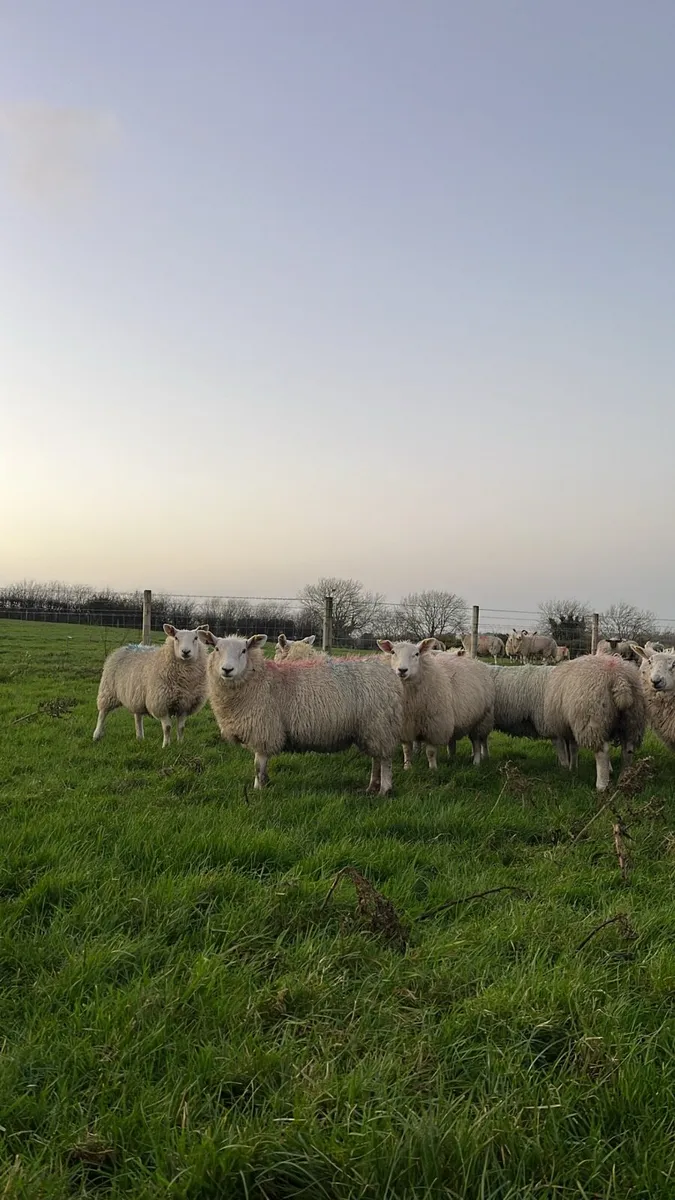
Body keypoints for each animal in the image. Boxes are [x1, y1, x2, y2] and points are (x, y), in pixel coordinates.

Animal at [202, 632, 403, 795]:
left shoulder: (265, 730)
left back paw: (384, 790)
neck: (261, 679)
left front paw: (258, 789)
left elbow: (259, 765)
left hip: (379, 725)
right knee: (377, 758)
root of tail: (388, 673)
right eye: (217, 649)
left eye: (243, 651)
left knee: (385, 760)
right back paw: (372, 786)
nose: (227, 669)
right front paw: (263, 785)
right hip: (373, 729)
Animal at [376, 639, 494, 768]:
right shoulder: (405, 726)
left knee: (476, 743)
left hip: (481, 720)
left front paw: (433, 768)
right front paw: (407, 767)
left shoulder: (434, 725)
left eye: (417, 654)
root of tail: (473, 659)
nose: (402, 670)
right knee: (453, 742)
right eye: (393, 652)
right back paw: (451, 758)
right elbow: (407, 749)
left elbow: (431, 752)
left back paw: (476, 762)